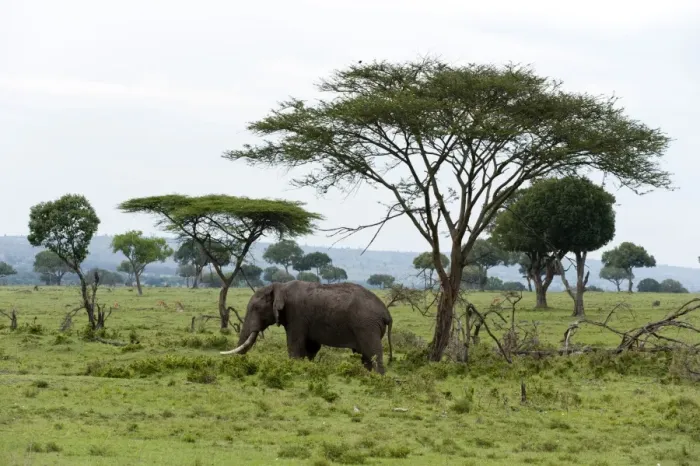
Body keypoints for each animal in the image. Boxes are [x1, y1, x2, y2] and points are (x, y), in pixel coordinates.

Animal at [220, 280, 393, 374]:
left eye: (256, 308)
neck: (280, 286)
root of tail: (386, 313)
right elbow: (311, 347)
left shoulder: (297, 315)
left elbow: (295, 345)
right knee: (366, 358)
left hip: (367, 326)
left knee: (372, 354)